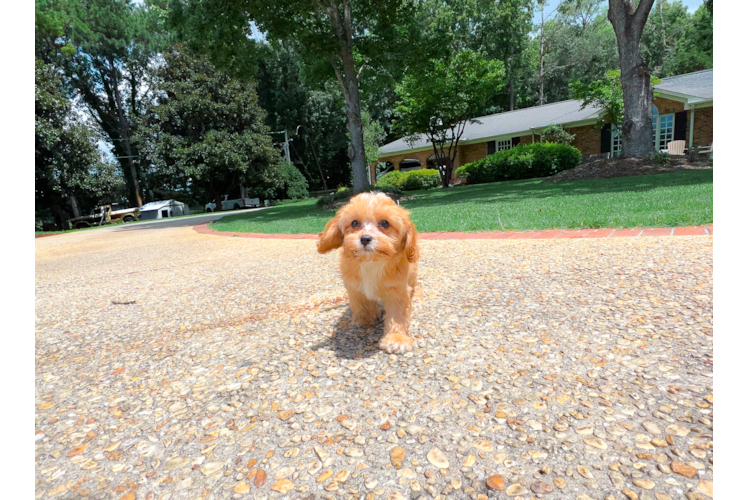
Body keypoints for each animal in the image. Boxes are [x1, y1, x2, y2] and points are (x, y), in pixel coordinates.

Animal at [318, 192, 420, 356]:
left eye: (385, 223)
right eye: (354, 223)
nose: (365, 238)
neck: (371, 261)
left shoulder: (397, 289)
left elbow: (397, 314)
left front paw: (396, 339)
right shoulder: (354, 286)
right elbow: (361, 303)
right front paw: (365, 320)